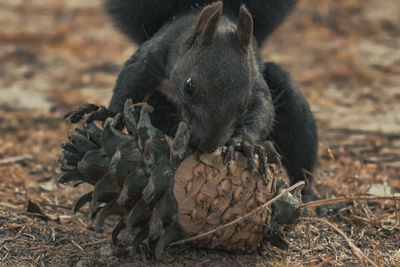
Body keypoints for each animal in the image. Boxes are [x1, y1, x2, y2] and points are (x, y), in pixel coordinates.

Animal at [68, 1, 318, 203]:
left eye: (244, 103)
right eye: (189, 86)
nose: (207, 145)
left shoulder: (254, 79)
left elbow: (264, 111)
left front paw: (244, 144)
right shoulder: (154, 55)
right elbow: (129, 80)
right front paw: (109, 113)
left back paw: (307, 195)